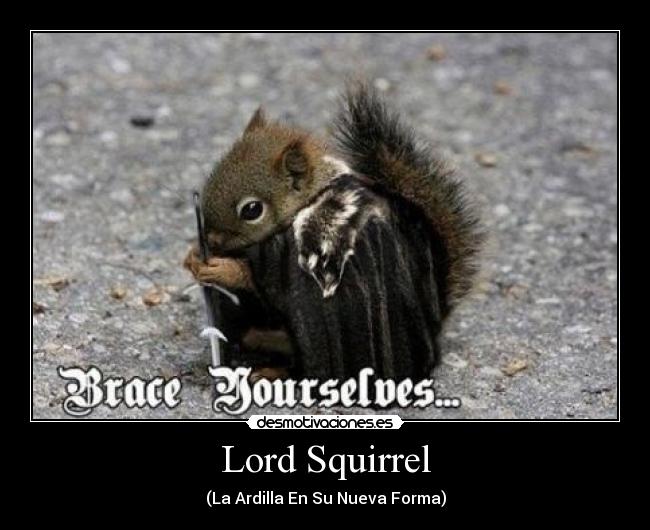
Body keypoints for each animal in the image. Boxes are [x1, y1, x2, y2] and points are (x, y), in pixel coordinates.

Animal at [184, 84, 484, 380]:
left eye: (252, 210)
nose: (210, 238)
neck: (309, 198)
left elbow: (263, 281)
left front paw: (222, 268)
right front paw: (193, 257)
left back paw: (270, 369)